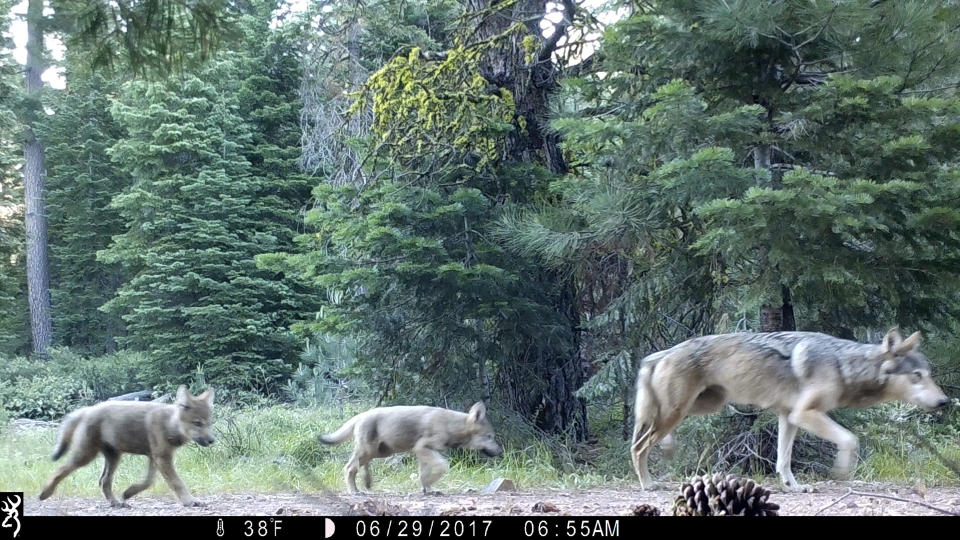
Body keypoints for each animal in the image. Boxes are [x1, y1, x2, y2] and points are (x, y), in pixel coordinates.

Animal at [38, 388, 216, 506]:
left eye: (209, 423)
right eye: (198, 423)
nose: (212, 440)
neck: (169, 424)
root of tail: (87, 409)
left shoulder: (154, 458)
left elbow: (148, 482)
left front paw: (128, 493)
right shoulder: (162, 458)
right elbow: (177, 483)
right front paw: (191, 501)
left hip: (114, 458)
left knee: (103, 481)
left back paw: (116, 503)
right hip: (85, 456)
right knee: (60, 469)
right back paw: (45, 493)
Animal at [322, 400, 502, 494]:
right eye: (490, 437)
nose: (500, 452)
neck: (451, 425)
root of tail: (360, 415)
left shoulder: (423, 452)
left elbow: (424, 473)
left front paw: (427, 489)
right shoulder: (422, 448)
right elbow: (442, 466)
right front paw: (428, 486)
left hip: (379, 452)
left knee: (362, 466)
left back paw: (367, 483)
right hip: (370, 451)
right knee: (349, 467)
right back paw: (354, 490)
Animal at [632, 326, 952, 492]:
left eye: (929, 374)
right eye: (916, 376)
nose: (945, 402)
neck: (844, 366)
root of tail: (659, 354)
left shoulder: (788, 416)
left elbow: (782, 460)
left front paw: (793, 487)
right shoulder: (805, 414)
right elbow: (851, 439)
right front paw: (841, 472)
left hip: (702, 407)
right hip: (678, 412)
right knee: (638, 447)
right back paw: (648, 484)